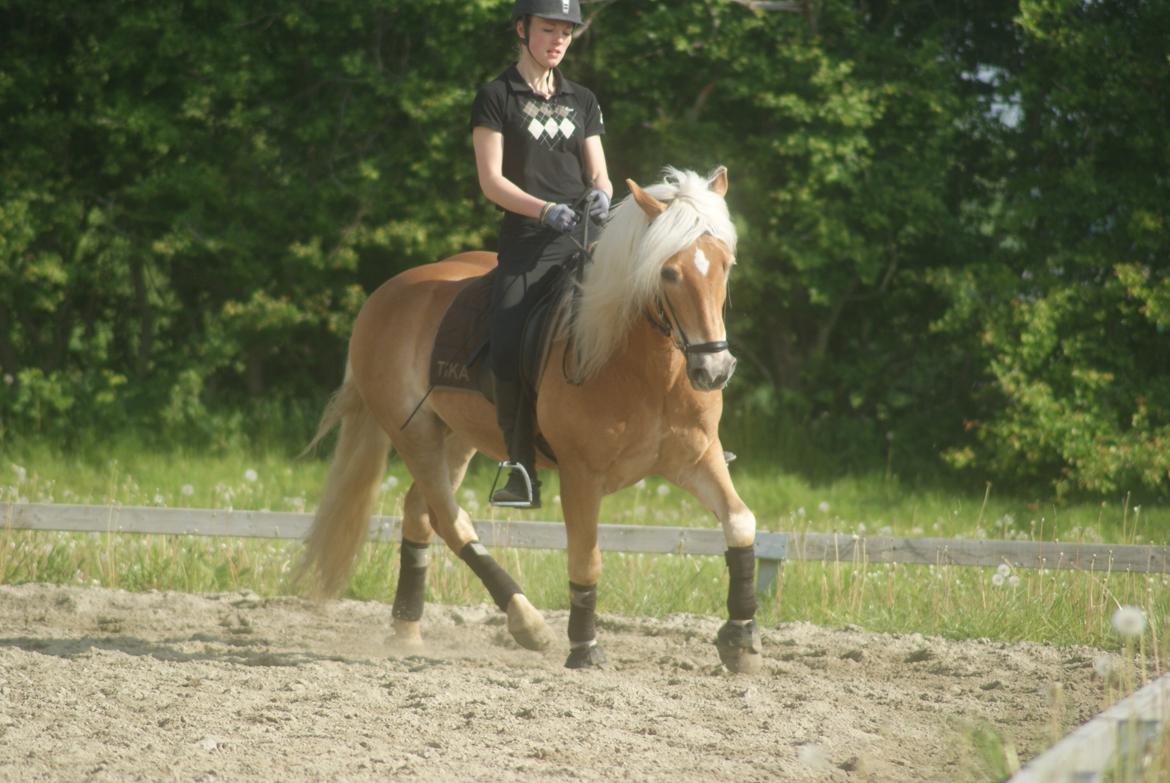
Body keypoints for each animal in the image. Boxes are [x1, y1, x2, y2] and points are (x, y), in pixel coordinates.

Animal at [297, 165, 762, 674]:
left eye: (725, 265)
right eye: (669, 272)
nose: (714, 370)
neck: (641, 366)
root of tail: (385, 294)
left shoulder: (697, 458)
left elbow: (741, 522)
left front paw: (740, 638)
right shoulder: (581, 476)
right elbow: (586, 560)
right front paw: (584, 648)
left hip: (457, 437)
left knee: (422, 512)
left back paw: (407, 629)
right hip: (414, 434)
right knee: (450, 518)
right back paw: (527, 622)